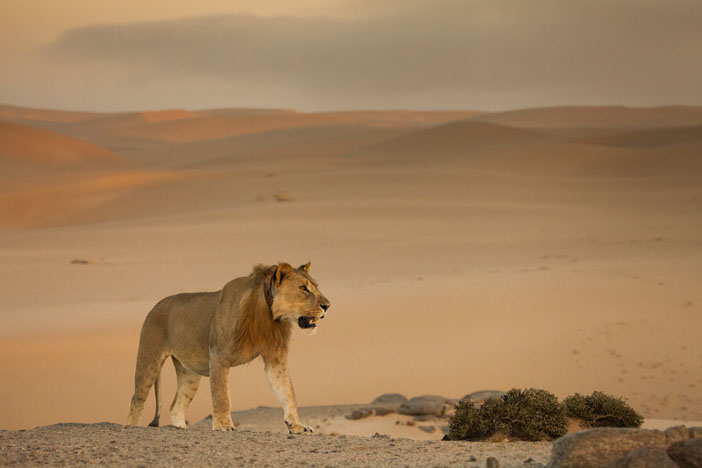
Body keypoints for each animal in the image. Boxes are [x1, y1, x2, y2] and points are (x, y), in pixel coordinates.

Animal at [127, 262, 332, 434]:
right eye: (304, 288)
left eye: (316, 286)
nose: (327, 306)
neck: (268, 313)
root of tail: (155, 305)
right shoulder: (218, 357)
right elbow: (222, 396)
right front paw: (223, 425)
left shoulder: (275, 359)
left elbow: (287, 391)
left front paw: (296, 425)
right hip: (149, 361)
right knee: (136, 400)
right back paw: (132, 426)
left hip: (189, 374)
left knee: (176, 406)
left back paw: (180, 428)